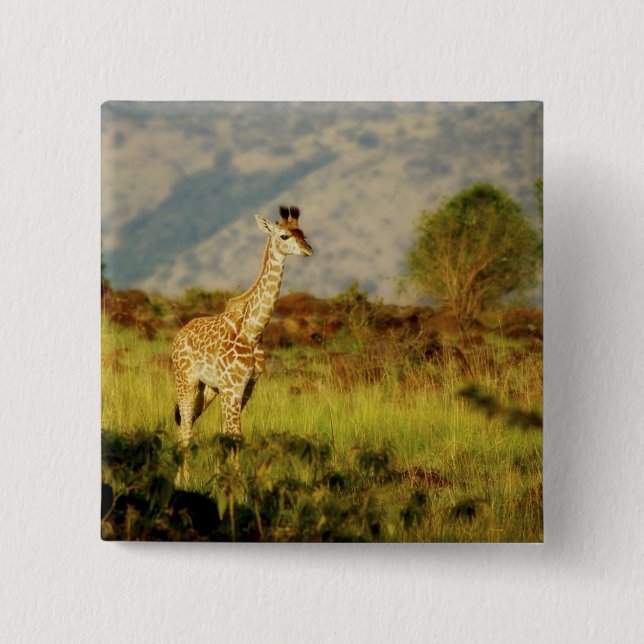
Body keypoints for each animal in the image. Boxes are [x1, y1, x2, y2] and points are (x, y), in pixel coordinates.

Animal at [171, 205, 312, 480]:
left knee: (186, 422)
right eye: (284, 236)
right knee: (186, 428)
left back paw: (180, 477)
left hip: (208, 389)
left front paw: (222, 479)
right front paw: (237, 484)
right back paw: (185, 479)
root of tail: (179, 335)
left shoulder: (245, 388)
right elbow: (235, 434)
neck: (253, 329)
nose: (308, 250)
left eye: (303, 233)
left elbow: (228, 433)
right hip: (186, 381)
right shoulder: (232, 386)